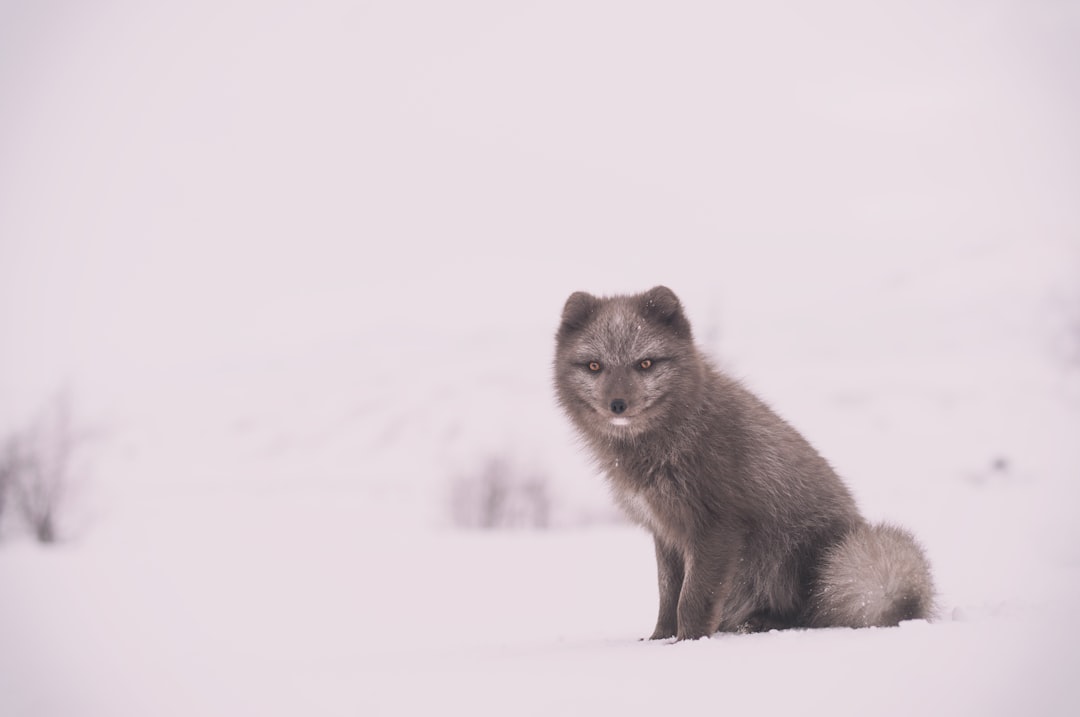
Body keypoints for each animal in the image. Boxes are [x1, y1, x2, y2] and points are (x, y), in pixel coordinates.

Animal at [552, 285, 933, 639]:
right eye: (594, 366)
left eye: (644, 363)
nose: (617, 405)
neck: (676, 437)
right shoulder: (666, 531)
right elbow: (668, 595)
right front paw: (659, 638)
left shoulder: (718, 526)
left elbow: (692, 598)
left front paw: (687, 642)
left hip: (804, 557)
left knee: (811, 612)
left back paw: (764, 622)